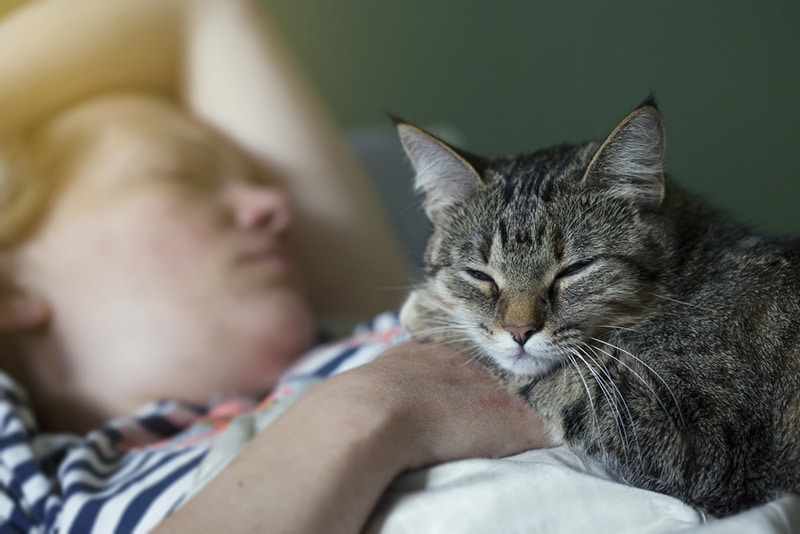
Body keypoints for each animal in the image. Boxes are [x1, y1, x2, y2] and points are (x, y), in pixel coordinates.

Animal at [396, 101, 800, 520]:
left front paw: (425, 309)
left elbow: (565, 381)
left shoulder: (702, 443)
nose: (519, 331)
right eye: (479, 275)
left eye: (574, 269)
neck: (688, 274)